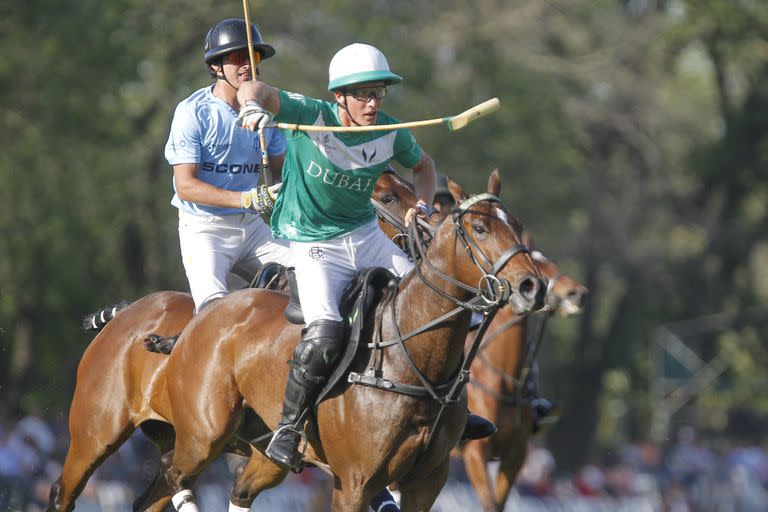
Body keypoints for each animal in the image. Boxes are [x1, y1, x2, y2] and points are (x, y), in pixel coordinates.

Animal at [460, 245, 592, 512]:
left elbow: (499, 503)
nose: (577, 294)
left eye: (553, 263)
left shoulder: (516, 454)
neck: (503, 379)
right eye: (538, 264)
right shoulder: (475, 453)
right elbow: (489, 502)